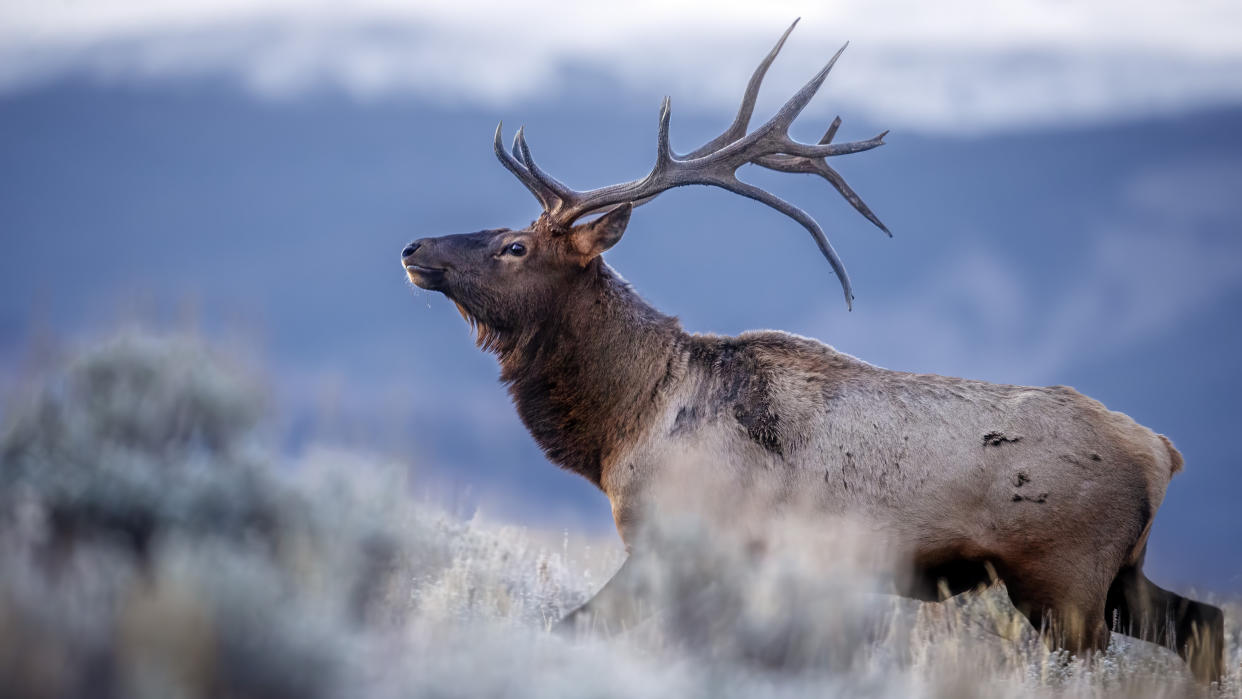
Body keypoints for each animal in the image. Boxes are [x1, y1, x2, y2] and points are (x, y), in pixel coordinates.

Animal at [399, 20, 1222, 685]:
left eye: (515, 245)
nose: (414, 248)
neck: (622, 422)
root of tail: (1163, 451)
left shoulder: (683, 542)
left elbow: (573, 626)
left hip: (1066, 579)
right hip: (1119, 573)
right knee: (1204, 624)